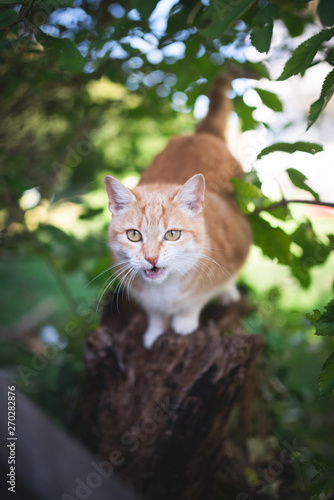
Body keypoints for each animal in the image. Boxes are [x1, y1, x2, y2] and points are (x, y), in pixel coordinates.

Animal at [104, 74, 250, 348]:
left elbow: (193, 304)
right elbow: (155, 314)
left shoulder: (212, 278)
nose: (151, 258)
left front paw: (184, 324)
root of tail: (201, 134)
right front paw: (155, 332)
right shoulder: (141, 295)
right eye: (134, 235)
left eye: (172, 234)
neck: (165, 290)